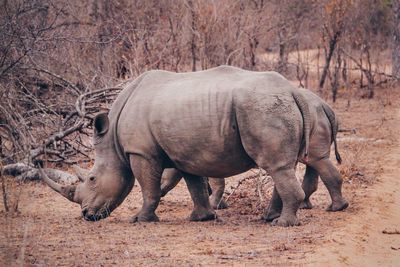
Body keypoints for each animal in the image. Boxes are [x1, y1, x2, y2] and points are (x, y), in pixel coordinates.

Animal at [41, 66, 340, 227]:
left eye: (92, 179)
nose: (86, 215)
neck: (112, 140)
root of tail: (293, 90)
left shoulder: (141, 152)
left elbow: (149, 187)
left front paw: (141, 219)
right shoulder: (185, 152)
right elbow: (194, 183)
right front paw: (201, 217)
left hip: (264, 108)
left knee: (277, 165)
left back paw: (282, 224)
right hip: (273, 107)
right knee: (284, 166)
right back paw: (275, 217)